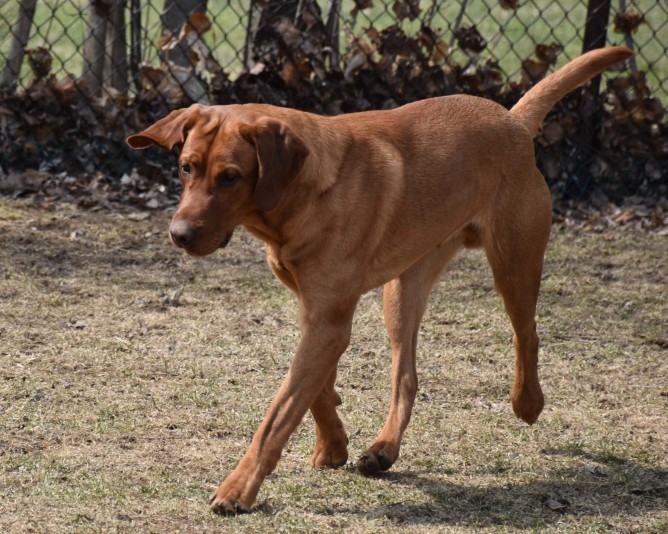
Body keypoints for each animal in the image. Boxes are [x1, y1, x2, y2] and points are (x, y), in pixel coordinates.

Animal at [128, 48, 636, 516]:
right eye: (186, 167)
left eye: (231, 177)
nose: (179, 235)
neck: (302, 196)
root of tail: (511, 120)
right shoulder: (317, 313)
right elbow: (312, 391)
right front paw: (333, 443)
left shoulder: (328, 321)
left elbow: (278, 414)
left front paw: (238, 489)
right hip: (403, 290)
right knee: (406, 376)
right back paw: (384, 449)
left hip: (514, 263)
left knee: (526, 334)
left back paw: (527, 403)